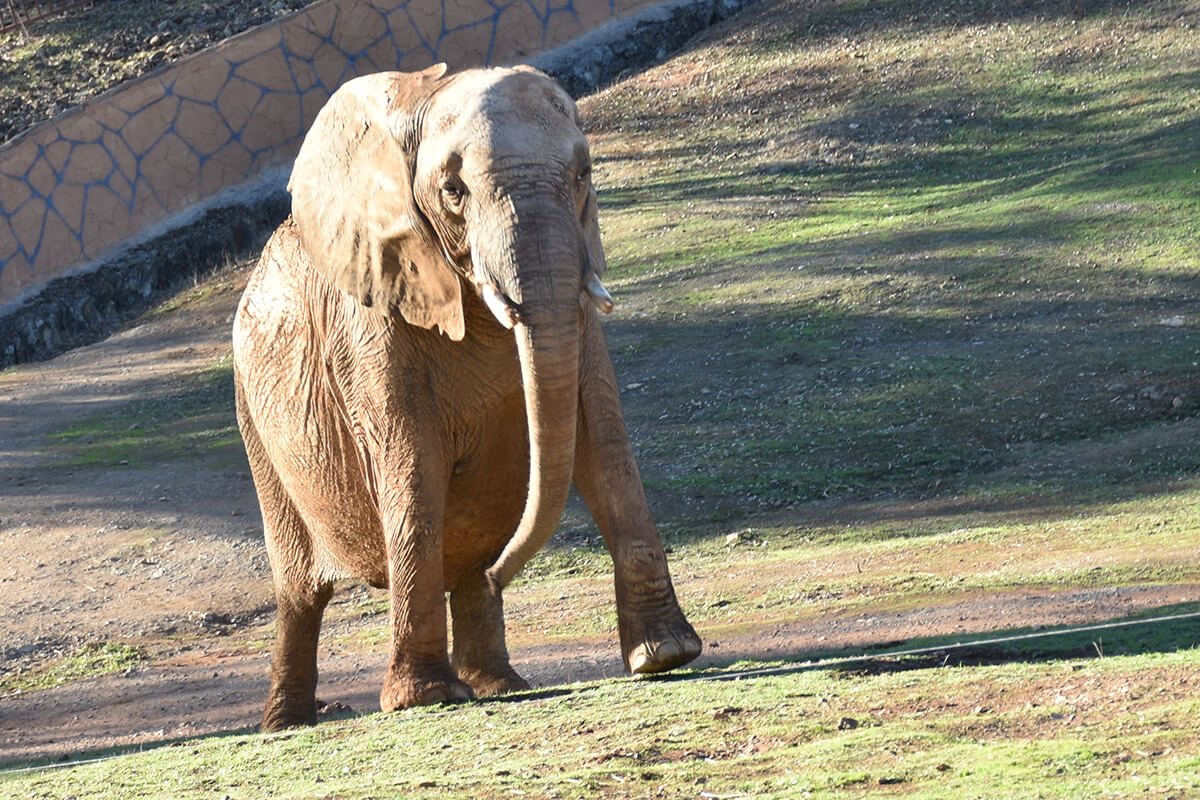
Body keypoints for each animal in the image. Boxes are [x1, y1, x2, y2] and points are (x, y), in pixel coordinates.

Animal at [231, 65, 700, 729]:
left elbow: (601, 439)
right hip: (253, 420)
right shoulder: (372, 323)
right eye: (453, 191)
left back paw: (500, 684)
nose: (507, 571)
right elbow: (412, 467)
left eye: (583, 175)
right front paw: (422, 698)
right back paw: (288, 723)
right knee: (300, 592)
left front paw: (666, 656)